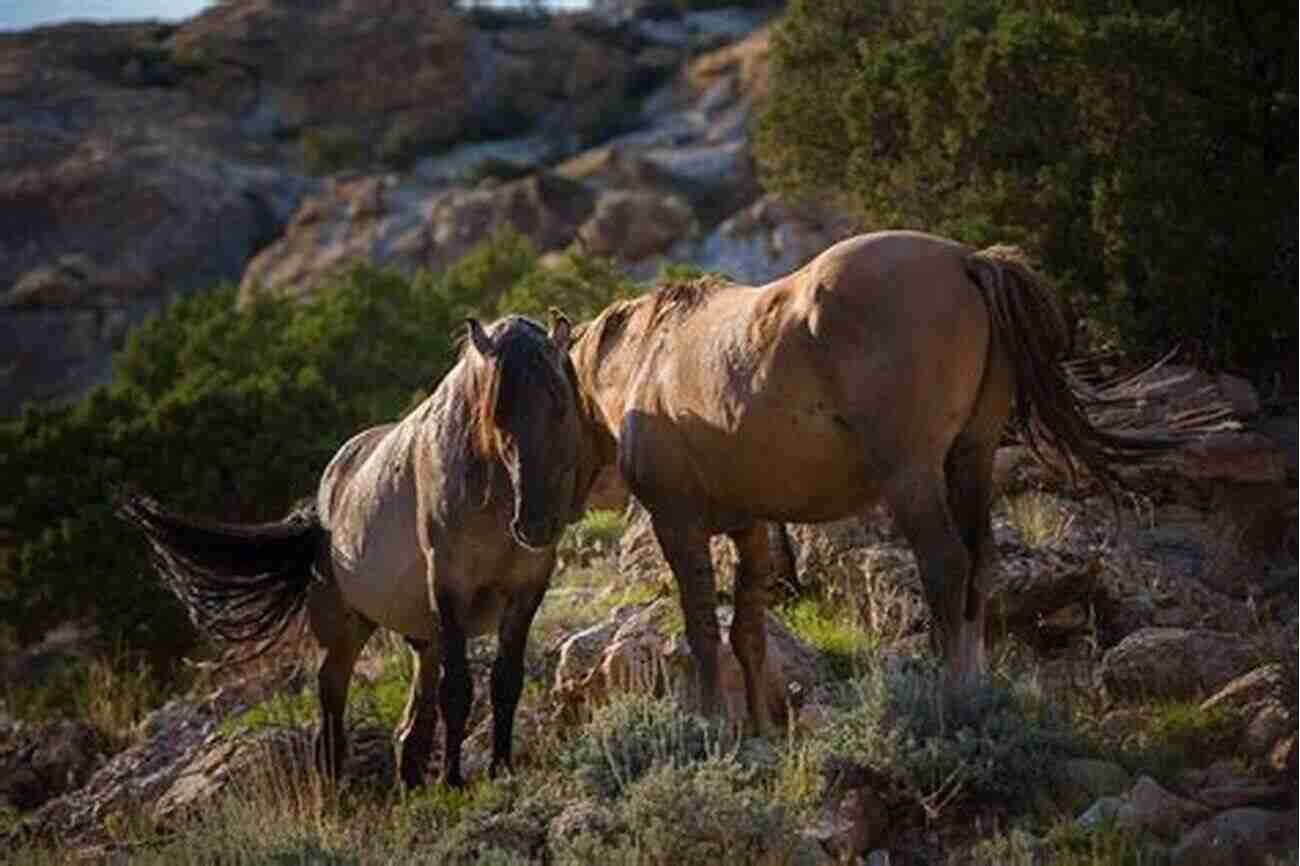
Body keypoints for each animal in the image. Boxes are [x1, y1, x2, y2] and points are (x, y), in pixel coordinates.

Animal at [120, 313, 598, 785]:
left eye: (560, 405)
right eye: (496, 414)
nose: (536, 524)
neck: (492, 498)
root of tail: (323, 502)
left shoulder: (525, 590)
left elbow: (505, 681)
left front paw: (501, 769)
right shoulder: (449, 590)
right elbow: (458, 691)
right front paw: (454, 781)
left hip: (425, 636)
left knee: (411, 728)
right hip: (345, 629)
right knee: (333, 698)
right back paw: (336, 784)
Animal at [569, 227, 1196, 728]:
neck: (650, 358)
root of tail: (967, 260)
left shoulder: (677, 522)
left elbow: (701, 624)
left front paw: (712, 722)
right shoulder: (749, 526)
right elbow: (746, 631)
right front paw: (757, 730)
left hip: (912, 476)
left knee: (946, 564)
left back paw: (950, 697)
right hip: (970, 459)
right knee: (981, 563)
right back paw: (976, 689)